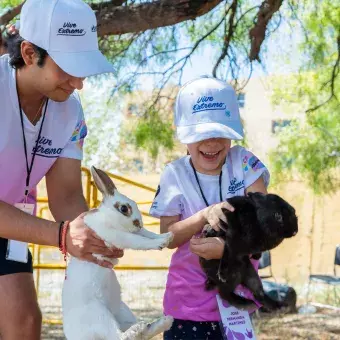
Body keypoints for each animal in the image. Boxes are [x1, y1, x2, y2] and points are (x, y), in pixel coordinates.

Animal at [62, 167, 174, 340]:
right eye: (124, 208)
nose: (138, 223)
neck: (107, 218)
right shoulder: (116, 236)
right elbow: (137, 240)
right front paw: (161, 242)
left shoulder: (135, 232)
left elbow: (146, 234)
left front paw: (167, 237)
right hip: (100, 315)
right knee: (120, 336)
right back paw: (140, 328)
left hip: (122, 311)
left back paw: (162, 322)